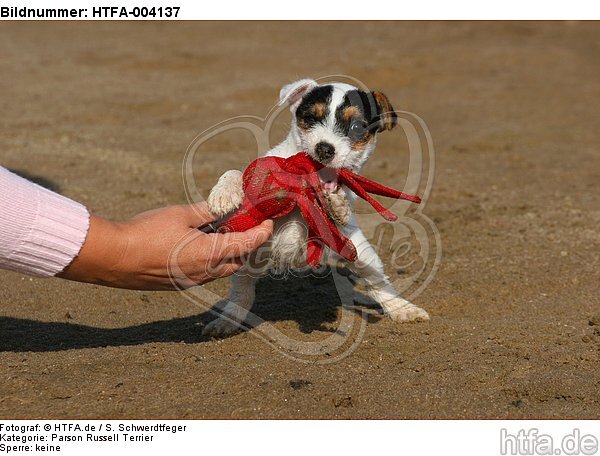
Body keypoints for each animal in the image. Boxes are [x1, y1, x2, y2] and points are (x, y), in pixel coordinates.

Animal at [204, 77, 428, 338]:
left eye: (356, 127)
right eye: (311, 118)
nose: (324, 148)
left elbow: (339, 207)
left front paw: (337, 205)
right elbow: (237, 173)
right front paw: (224, 192)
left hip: (361, 254)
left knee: (379, 283)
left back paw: (403, 309)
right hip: (250, 258)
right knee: (242, 292)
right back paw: (227, 321)